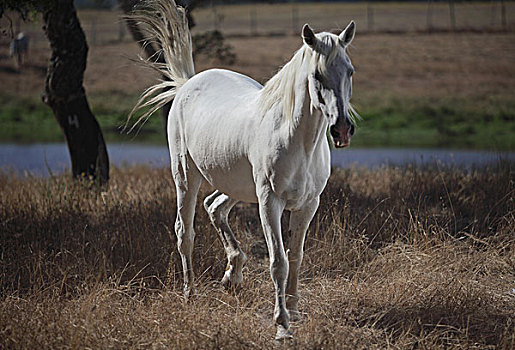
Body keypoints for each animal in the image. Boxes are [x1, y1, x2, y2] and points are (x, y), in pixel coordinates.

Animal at [128, 0, 356, 340]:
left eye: (350, 71)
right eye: (317, 74)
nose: (342, 129)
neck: (298, 141)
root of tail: (186, 85)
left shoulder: (308, 204)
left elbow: (297, 256)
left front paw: (295, 311)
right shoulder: (270, 202)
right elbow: (278, 262)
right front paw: (282, 326)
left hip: (238, 186)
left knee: (214, 207)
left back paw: (232, 275)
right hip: (187, 176)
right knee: (185, 231)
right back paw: (190, 294)